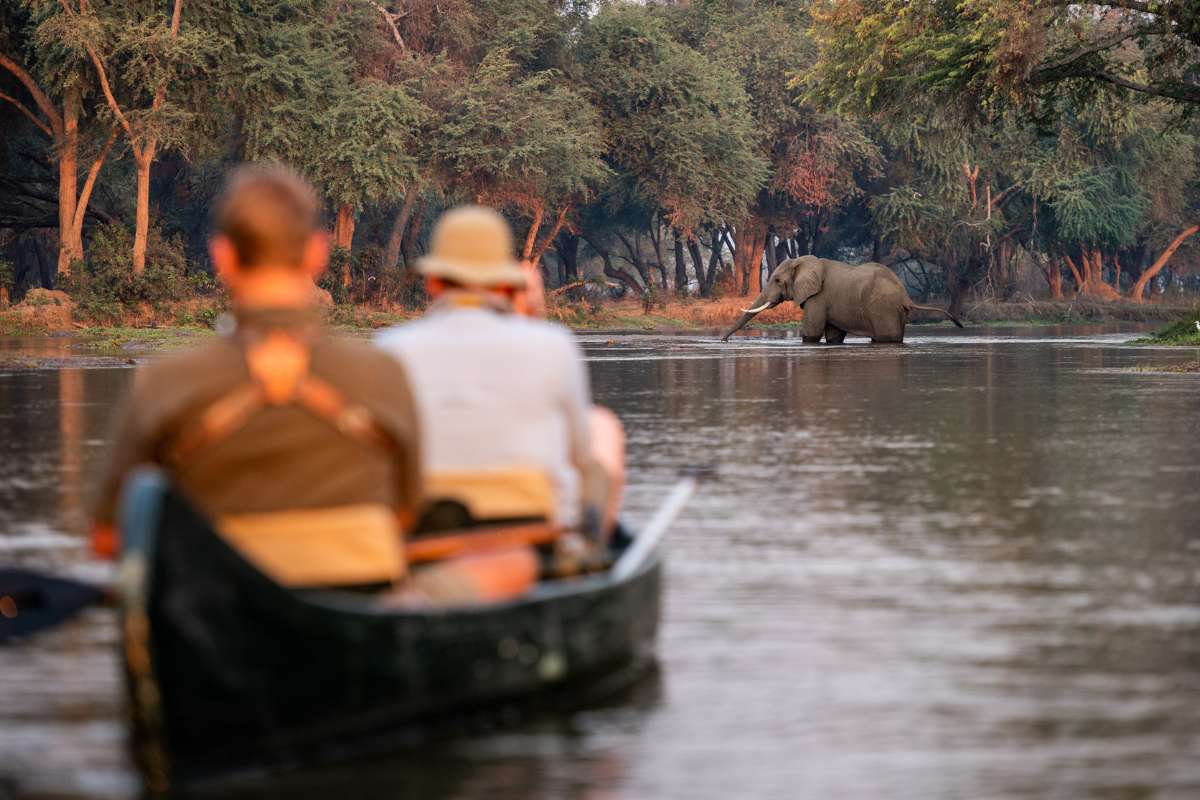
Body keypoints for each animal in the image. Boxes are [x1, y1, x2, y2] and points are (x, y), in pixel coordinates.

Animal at [721, 255, 963, 343]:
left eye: (778, 280)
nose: (723, 341)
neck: (804, 261)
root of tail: (906, 295)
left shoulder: (818, 297)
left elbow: (811, 333)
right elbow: (833, 336)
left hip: (883, 308)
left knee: (886, 337)